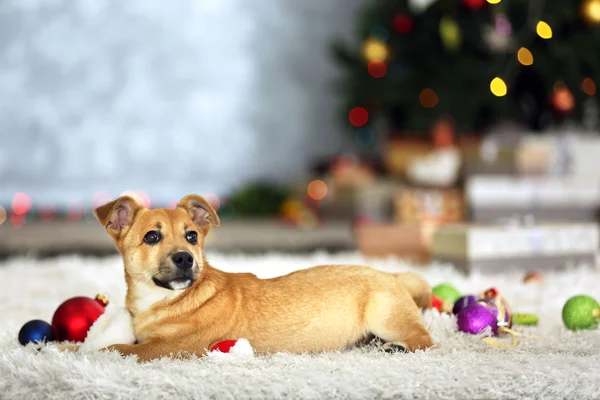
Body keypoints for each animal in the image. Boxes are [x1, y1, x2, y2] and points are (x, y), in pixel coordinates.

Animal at [72, 195, 434, 360]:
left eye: (191, 236)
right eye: (151, 237)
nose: (186, 258)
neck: (164, 299)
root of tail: (392, 274)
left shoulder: (170, 348)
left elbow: (112, 348)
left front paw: (72, 352)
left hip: (385, 316)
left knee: (426, 339)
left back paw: (396, 347)